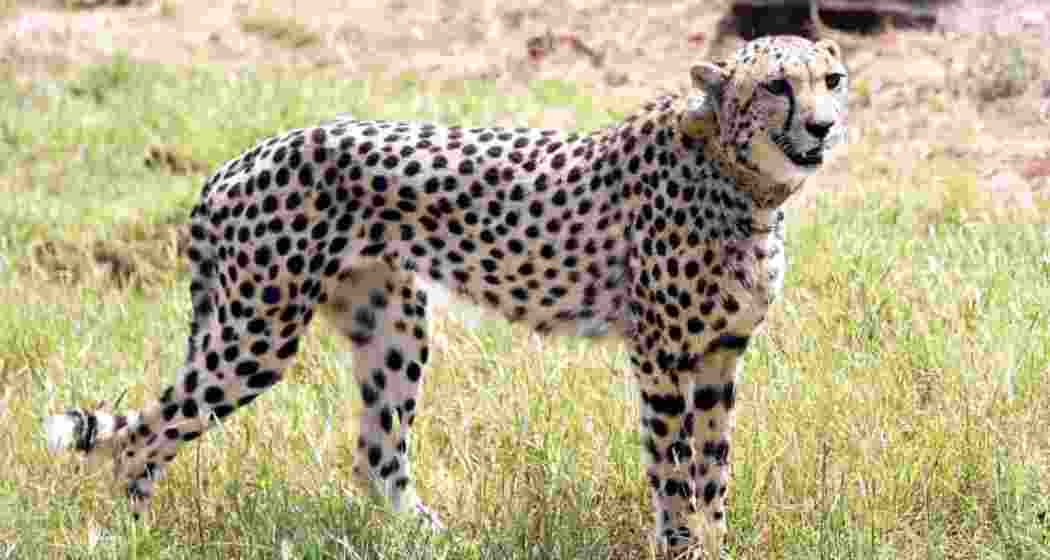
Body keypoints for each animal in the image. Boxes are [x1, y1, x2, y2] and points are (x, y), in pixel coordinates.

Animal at [45, 35, 848, 558]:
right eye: (777, 86)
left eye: (833, 80)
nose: (823, 126)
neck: (742, 179)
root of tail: (237, 160)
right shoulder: (661, 354)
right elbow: (674, 470)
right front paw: (683, 546)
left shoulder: (719, 355)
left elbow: (714, 470)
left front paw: (717, 541)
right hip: (256, 334)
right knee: (143, 436)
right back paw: (132, 535)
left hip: (392, 326)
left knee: (376, 451)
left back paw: (432, 538)